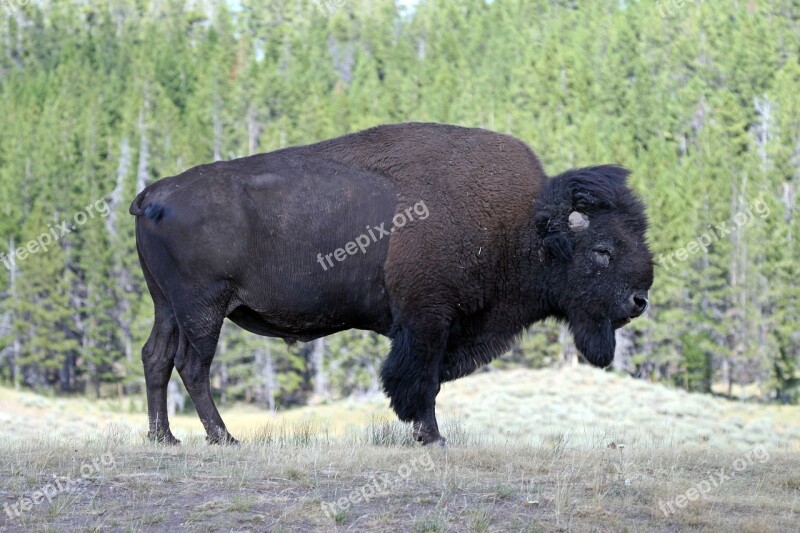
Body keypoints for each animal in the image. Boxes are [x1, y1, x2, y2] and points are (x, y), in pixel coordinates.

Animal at [131, 123, 652, 444]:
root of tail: (153, 192)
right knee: (192, 366)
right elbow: (421, 381)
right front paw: (433, 437)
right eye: (603, 251)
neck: (523, 224)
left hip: (167, 307)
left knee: (156, 357)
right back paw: (224, 438)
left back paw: (165, 438)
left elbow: (426, 381)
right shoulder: (427, 322)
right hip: (204, 308)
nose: (639, 300)